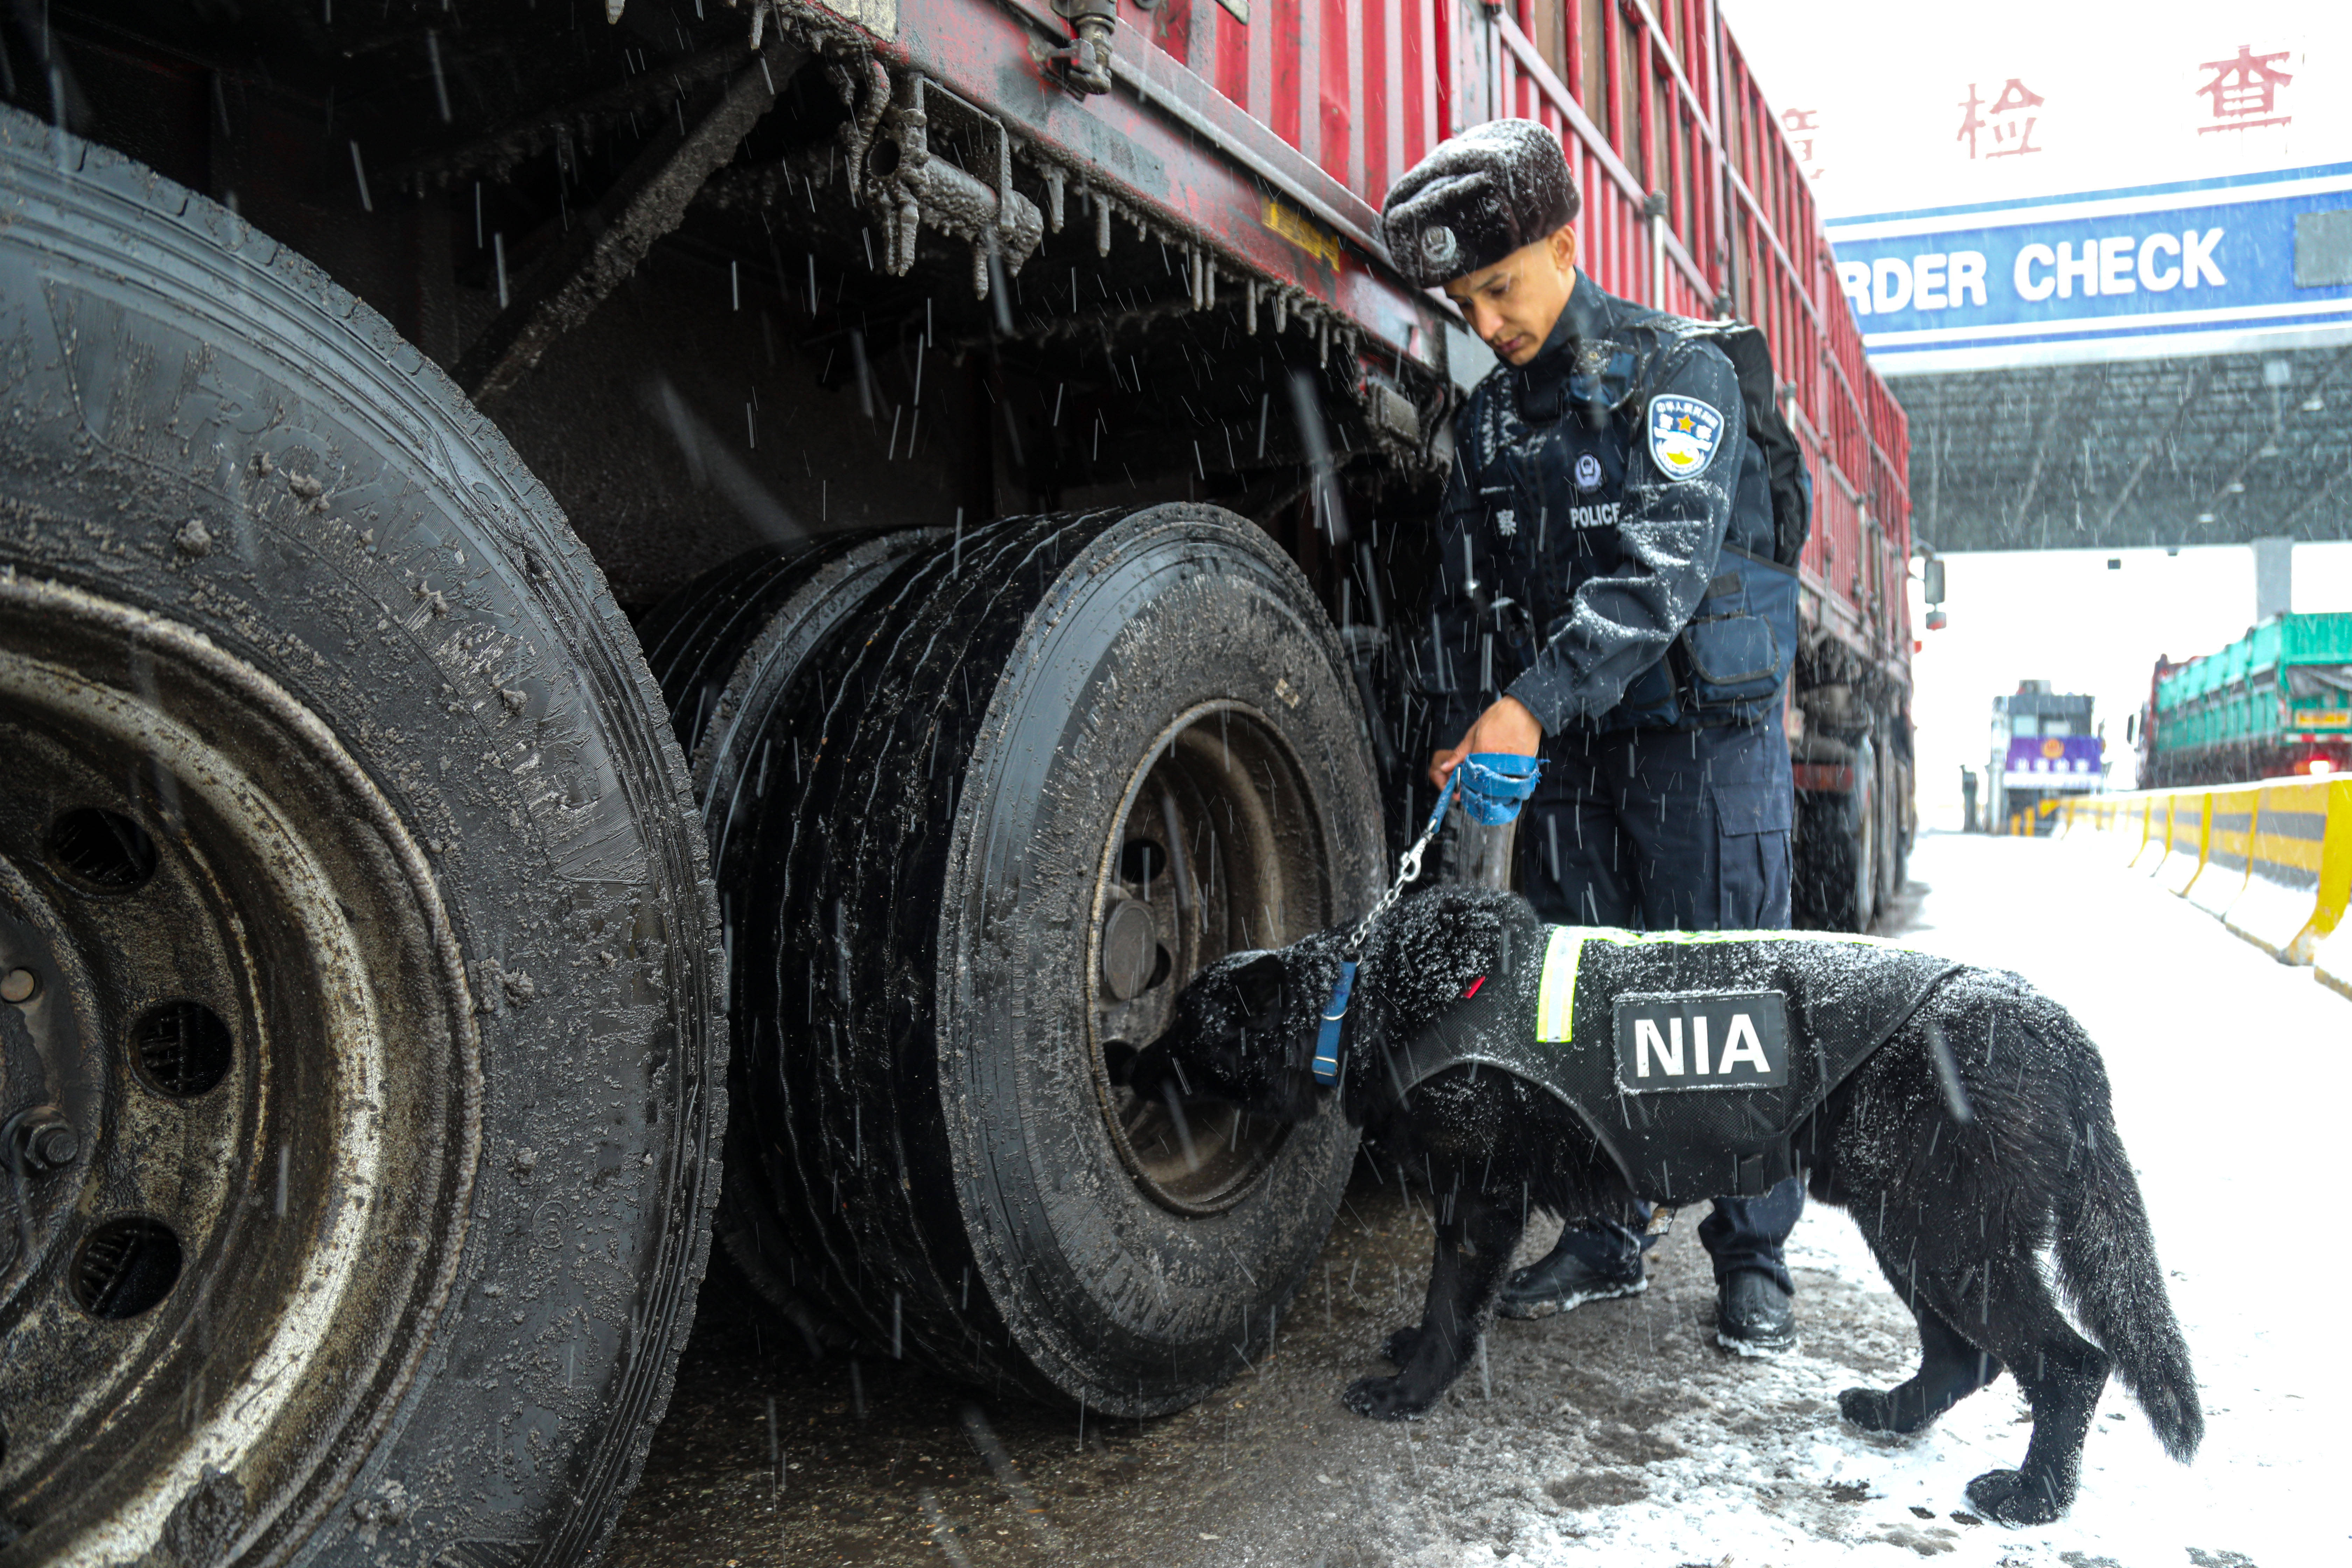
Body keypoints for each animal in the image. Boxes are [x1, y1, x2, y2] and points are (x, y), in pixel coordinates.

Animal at [1110, 888, 2192, 1523]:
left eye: (1184, 1030)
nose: (1121, 1059)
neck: (1365, 993)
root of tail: (2057, 1029)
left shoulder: (1480, 1199)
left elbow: (1453, 1307)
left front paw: (1412, 1390)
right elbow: (1443, 1302)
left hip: (1945, 1235)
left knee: (2068, 1362)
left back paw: (2036, 1496)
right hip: (1912, 1229)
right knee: (1966, 1357)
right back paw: (1891, 1413)